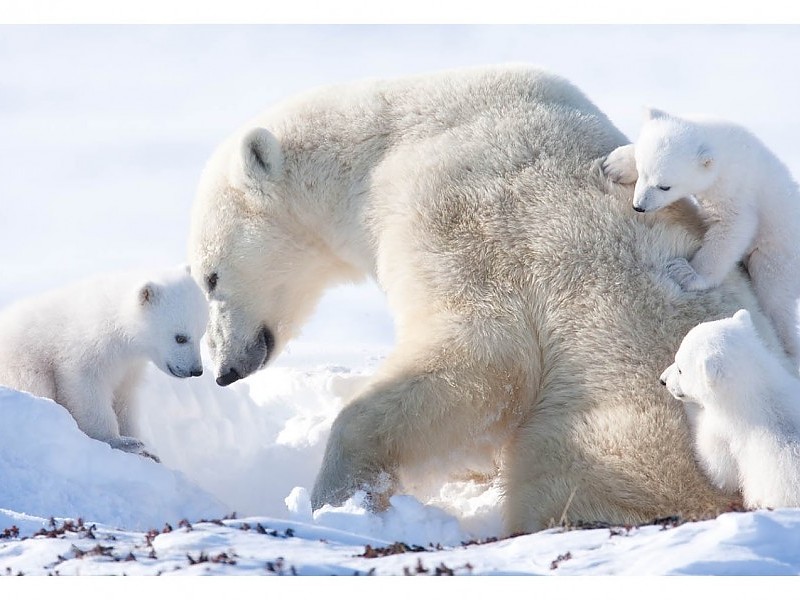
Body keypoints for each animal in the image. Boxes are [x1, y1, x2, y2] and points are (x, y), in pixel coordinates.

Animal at [0, 265, 208, 460]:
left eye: (201, 332)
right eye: (180, 338)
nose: (196, 370)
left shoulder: (129, 365)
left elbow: (125, 398)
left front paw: (145, 449)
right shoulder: (87, 349)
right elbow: (86, 391)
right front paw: (122, 442)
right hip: (21, 363)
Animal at [603, 108, 800, 366]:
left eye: (665, 186)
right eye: (643, 171)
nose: (639, 207)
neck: (724, 145)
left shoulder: (734, 187)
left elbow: (734, 226)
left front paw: (686, 272)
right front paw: (615, 164)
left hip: (779, 255)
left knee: (775, 298)